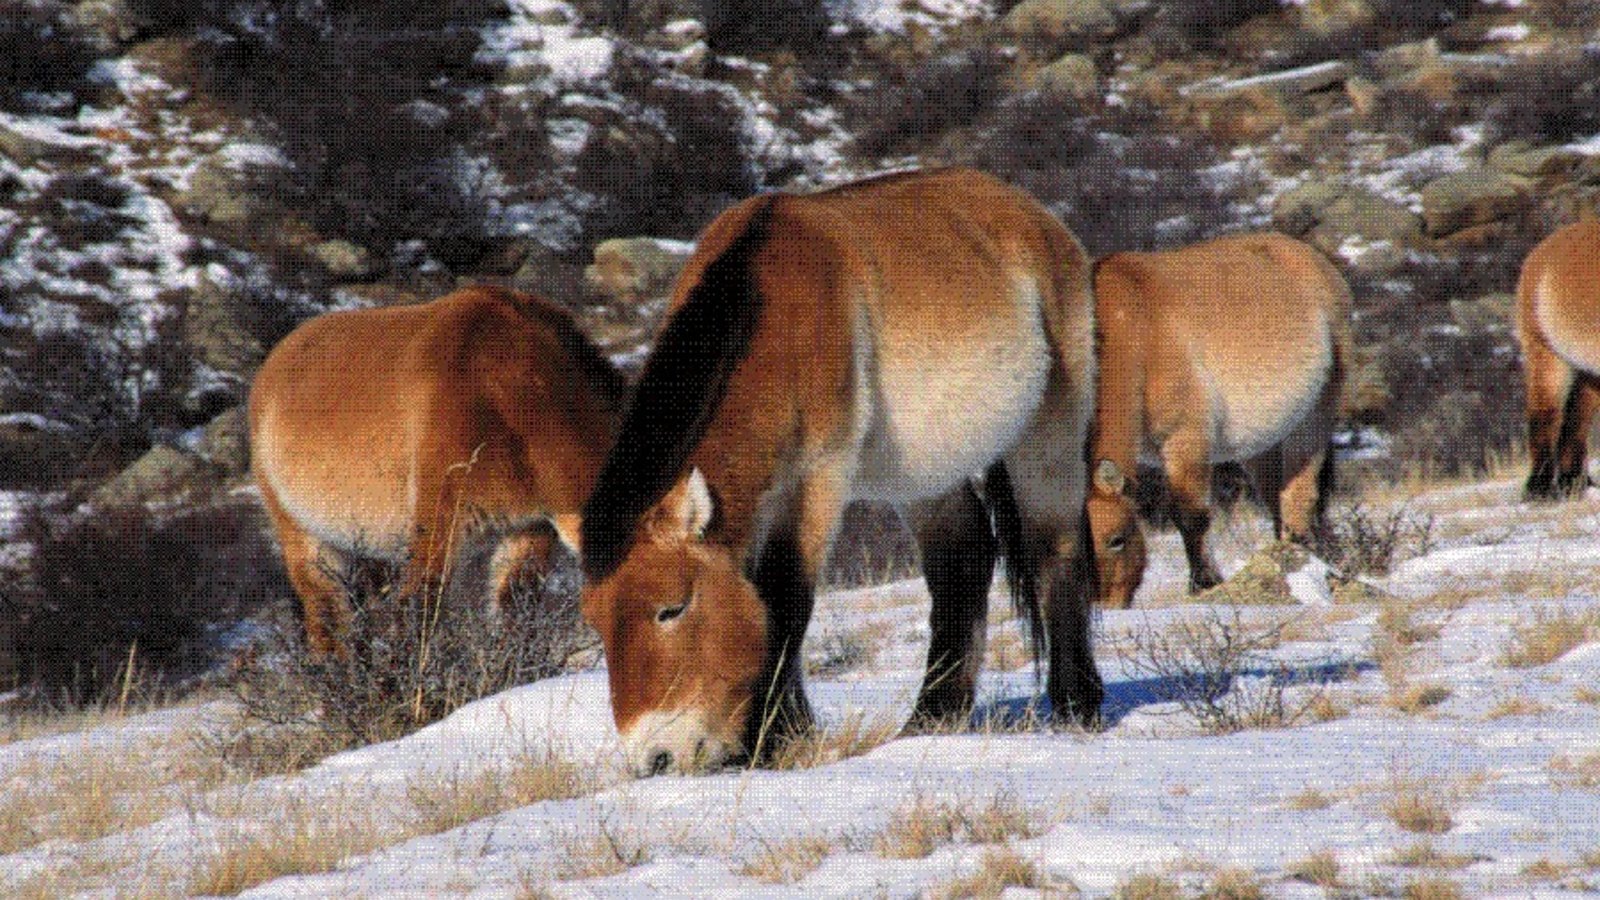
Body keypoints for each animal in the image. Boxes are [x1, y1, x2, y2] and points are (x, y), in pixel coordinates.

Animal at [249, 286, 624, 650]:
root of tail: (277, 356)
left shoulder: (531, 530)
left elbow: (514, 614)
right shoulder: (439, 526)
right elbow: (421, 614)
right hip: (305, 538)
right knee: (327, 619)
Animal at [582, 166, 1107, 771]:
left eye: (671, 608)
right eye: (597, 625)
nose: (656, 757)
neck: (775, 312)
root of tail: (1035, 217)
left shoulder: (818, 479)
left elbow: (785, 600)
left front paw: (772, 740)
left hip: (1048, 436)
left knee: (1055, 552)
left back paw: (1076, 705)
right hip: (925, 475)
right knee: (963, 558)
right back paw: (933, 717)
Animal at [1088, 232, 1350, 608]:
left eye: (1116, 539)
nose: (1103, 610)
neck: (1133, 334)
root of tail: (1311, 257)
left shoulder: (1187, 440)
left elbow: (1190, 517)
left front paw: (1204, 584)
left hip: (1312, 421)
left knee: (1298, 499)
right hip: (1261, 445)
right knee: (1277, 501)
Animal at [1510, 217, 1600, 496]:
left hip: (1587, 371)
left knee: (1575, 424)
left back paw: (1575, 483)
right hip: (1547, 356)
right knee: (1544, 417)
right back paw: (1539, 488)